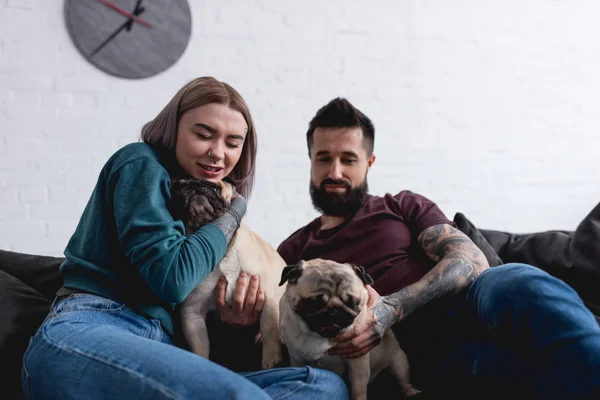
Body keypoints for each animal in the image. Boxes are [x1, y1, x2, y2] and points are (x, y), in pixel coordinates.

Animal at [171, 178, 288, 368]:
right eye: (178, 187)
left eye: (214, 186)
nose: (194, 188)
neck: (222, 254)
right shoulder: (192, 314)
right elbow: (199, 348)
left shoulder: (265, 298)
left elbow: (269, 328)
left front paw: (271, 359)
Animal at [278, 258, 420, 398]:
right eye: (314, 302)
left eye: (353, 302)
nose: (334, 311)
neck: (318, 335)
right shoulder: (297, 360)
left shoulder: (358, 363)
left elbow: (358, 390)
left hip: (399, 362)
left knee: (403, 379)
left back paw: (410, 391)